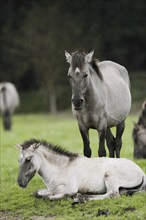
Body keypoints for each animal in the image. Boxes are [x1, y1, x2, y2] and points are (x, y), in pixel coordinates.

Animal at [16, 139, 145, 201]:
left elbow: (49, 197)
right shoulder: (51, 189)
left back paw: (82, 198)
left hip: (110, 176)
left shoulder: (69, 188)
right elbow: (38, 193)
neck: (60, 168)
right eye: (19, 160)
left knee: (113, 195)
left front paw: (73, 195)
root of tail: (142, 173)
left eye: (28, 159)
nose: (20, 182)